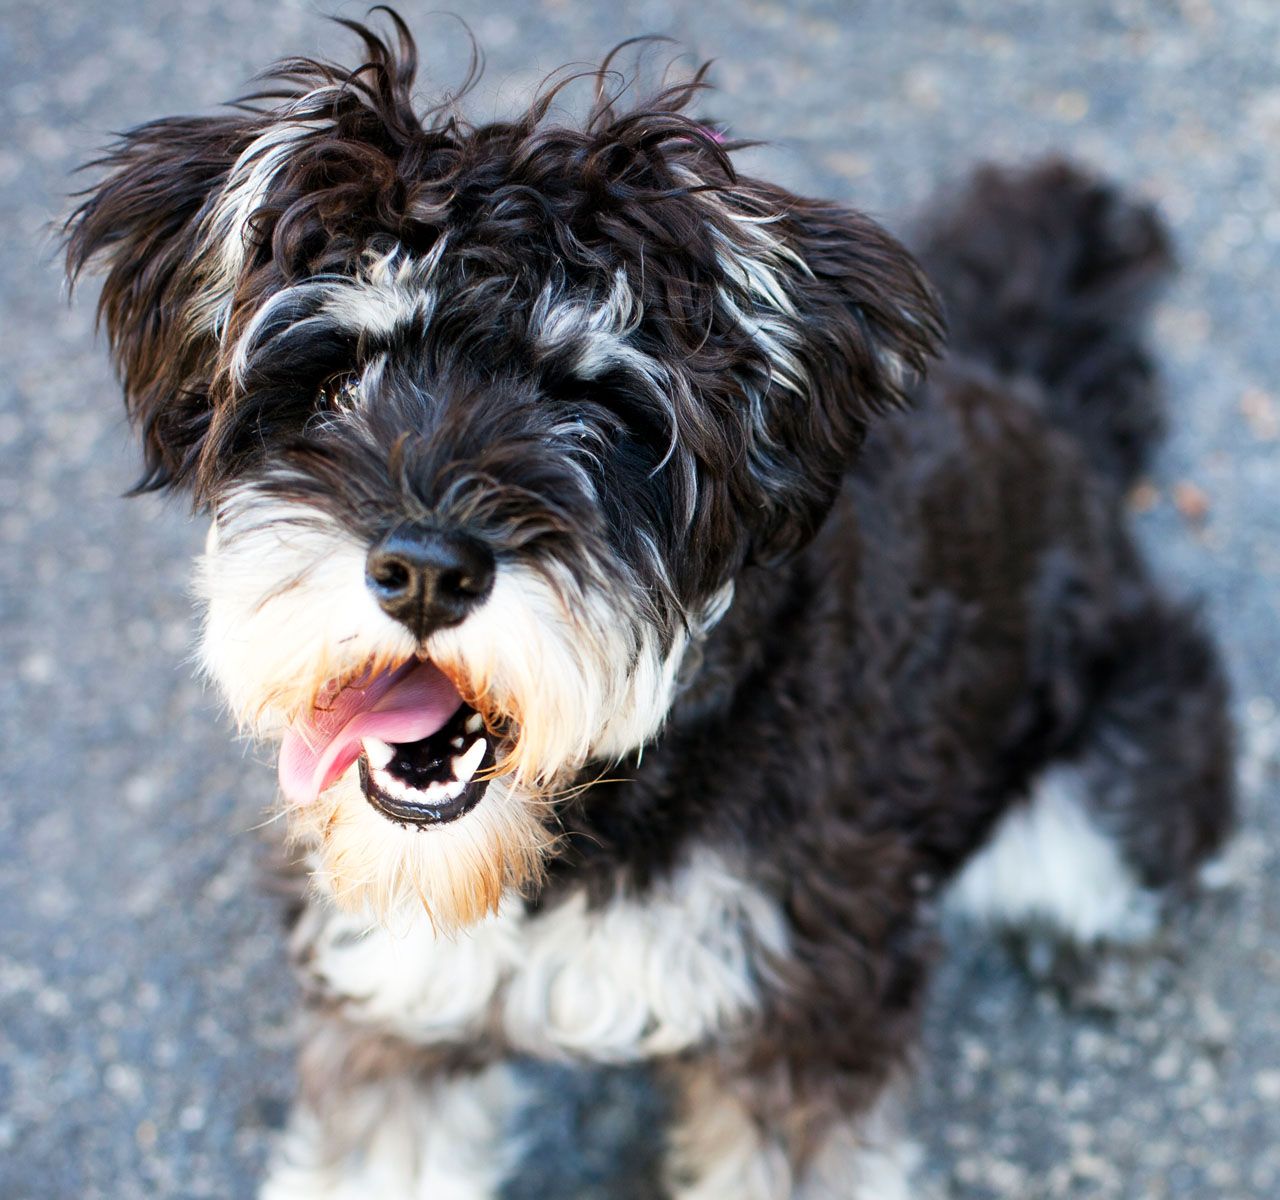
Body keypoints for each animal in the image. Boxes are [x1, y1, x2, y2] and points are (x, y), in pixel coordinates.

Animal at [64, 11, 1233, 1197]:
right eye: (337, 374)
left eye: (595, 406)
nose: (426, 569)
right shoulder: (398, 1001)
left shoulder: (804, 1013)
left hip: (1115, 763)